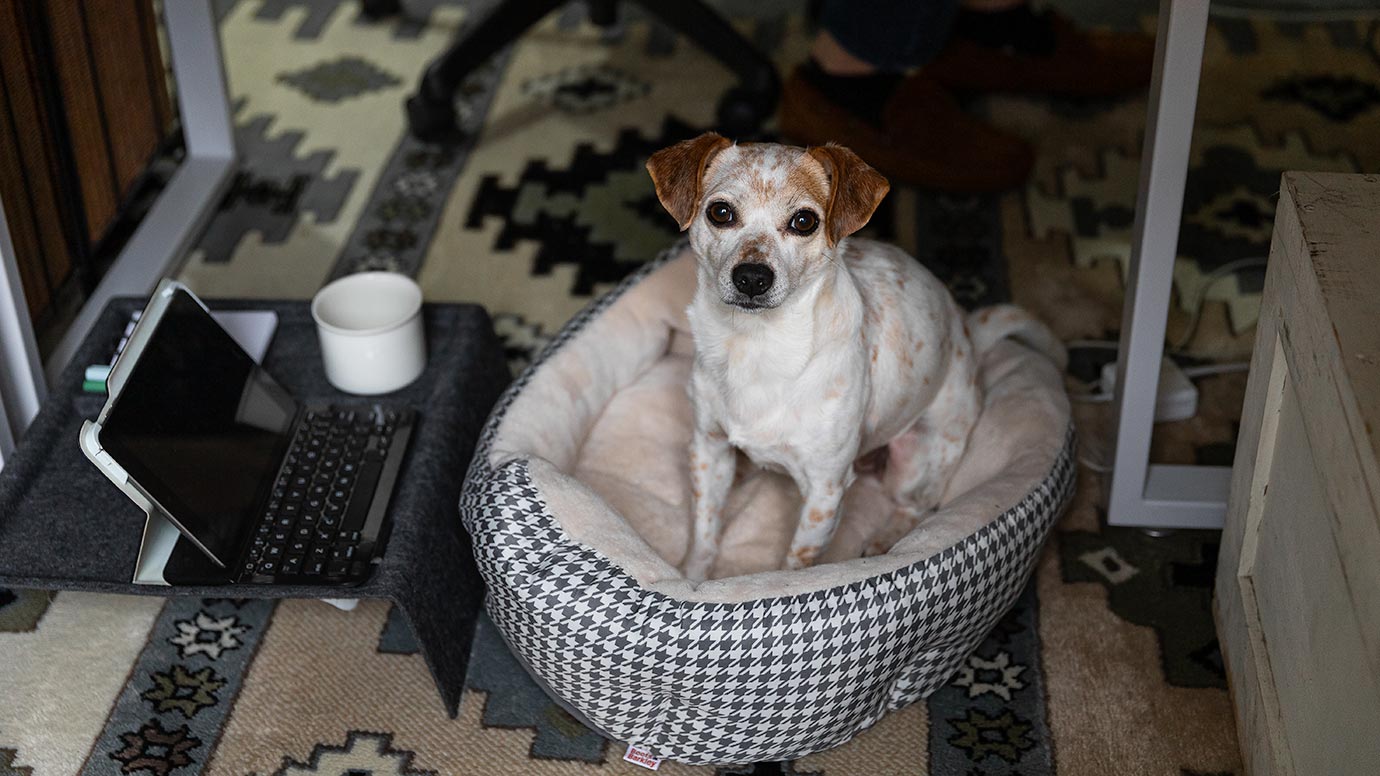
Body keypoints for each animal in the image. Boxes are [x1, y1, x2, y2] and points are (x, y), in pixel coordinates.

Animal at [648, 134, 1054, 579]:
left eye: (804, 221)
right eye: (720, 213)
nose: (752, 277)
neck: (758, 345)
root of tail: (967, 334)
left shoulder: (824, 491)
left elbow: (794, 565)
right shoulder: (709, 450)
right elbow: (705, 531)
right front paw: (691, 579)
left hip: (918, 461)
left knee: (917, 506)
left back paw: (886, 542)